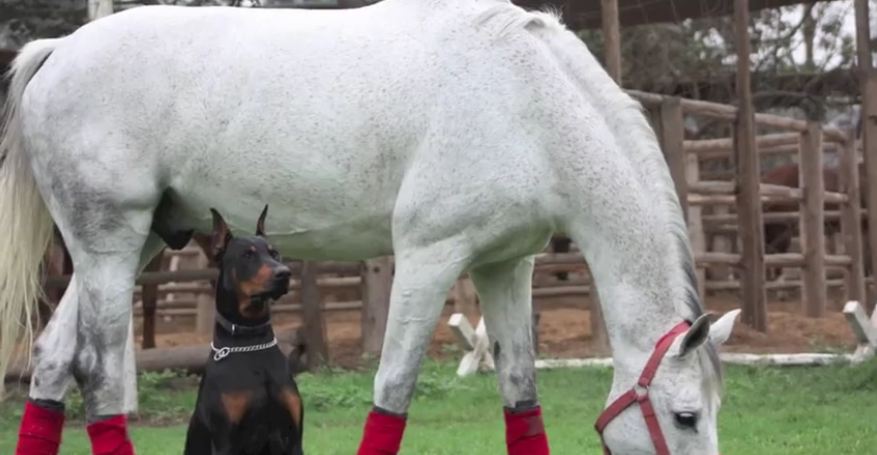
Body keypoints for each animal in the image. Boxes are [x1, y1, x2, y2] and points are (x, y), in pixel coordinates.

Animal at [185, 208, 304, 455]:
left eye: (274, 253)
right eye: (247, 255)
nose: (285, 273)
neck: (251, 338)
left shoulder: (293, 437)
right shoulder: (226, 441)